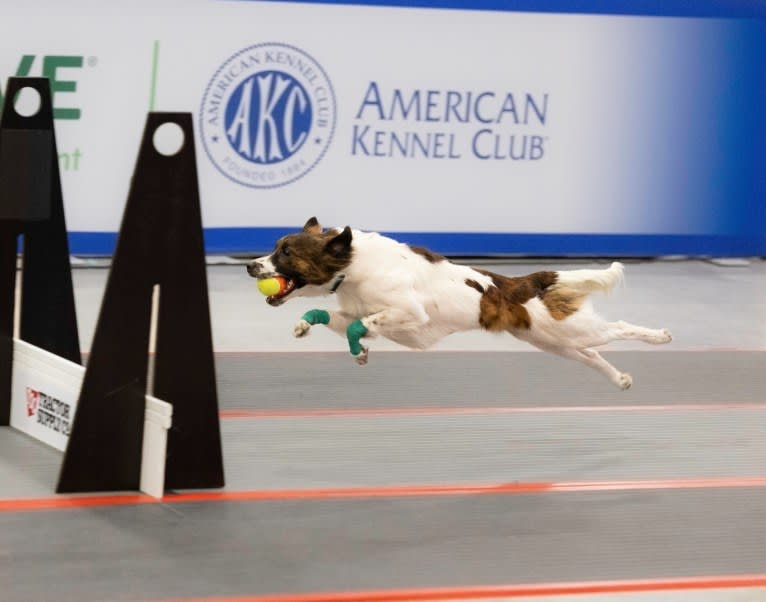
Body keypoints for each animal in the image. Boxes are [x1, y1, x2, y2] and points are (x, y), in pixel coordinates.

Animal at [249, 217, 676, 390]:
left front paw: (360, 351)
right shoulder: (360, 311)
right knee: (592, 356)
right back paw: (620, 380)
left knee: (618, 328)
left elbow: (360, 326)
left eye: (286, 253)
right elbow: (332, 317)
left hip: (570, 330)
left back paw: (660, 337)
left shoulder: (407, 314)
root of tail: (524, 282)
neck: (352, 265)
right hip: (555, 342)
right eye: (275, 247)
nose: (252, 265)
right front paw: (307, 325)